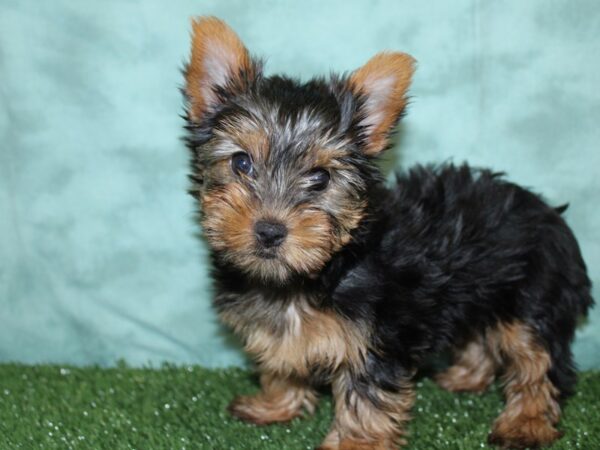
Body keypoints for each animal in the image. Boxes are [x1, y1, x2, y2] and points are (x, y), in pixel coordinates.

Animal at [184, 15, 596, 448]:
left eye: (320, 177)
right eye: (241, 163)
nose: (269, 230)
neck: (315, 272)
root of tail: (548, 211)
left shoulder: (376, 338)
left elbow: (366, 398)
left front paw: (355, 443)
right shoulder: (280, 328)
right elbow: (281, 359)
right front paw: (275, 402)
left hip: (532, 297)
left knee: (538, 361)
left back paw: (526, 421)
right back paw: (466, 377)